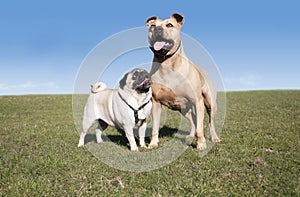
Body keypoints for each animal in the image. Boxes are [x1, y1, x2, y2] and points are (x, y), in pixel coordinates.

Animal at [147, 13, 220, 149]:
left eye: (169, 25)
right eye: (153, 25)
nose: (157, 29)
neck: (166, 64)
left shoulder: (197, 101)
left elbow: (201, 127)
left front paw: (201, 144)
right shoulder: (156, 103)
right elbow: (155, 127)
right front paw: (153, 144)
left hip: (210, 104)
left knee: (209, 122)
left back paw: (214, 137)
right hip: (183, 108)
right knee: (193, 119)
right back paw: (190, 136)